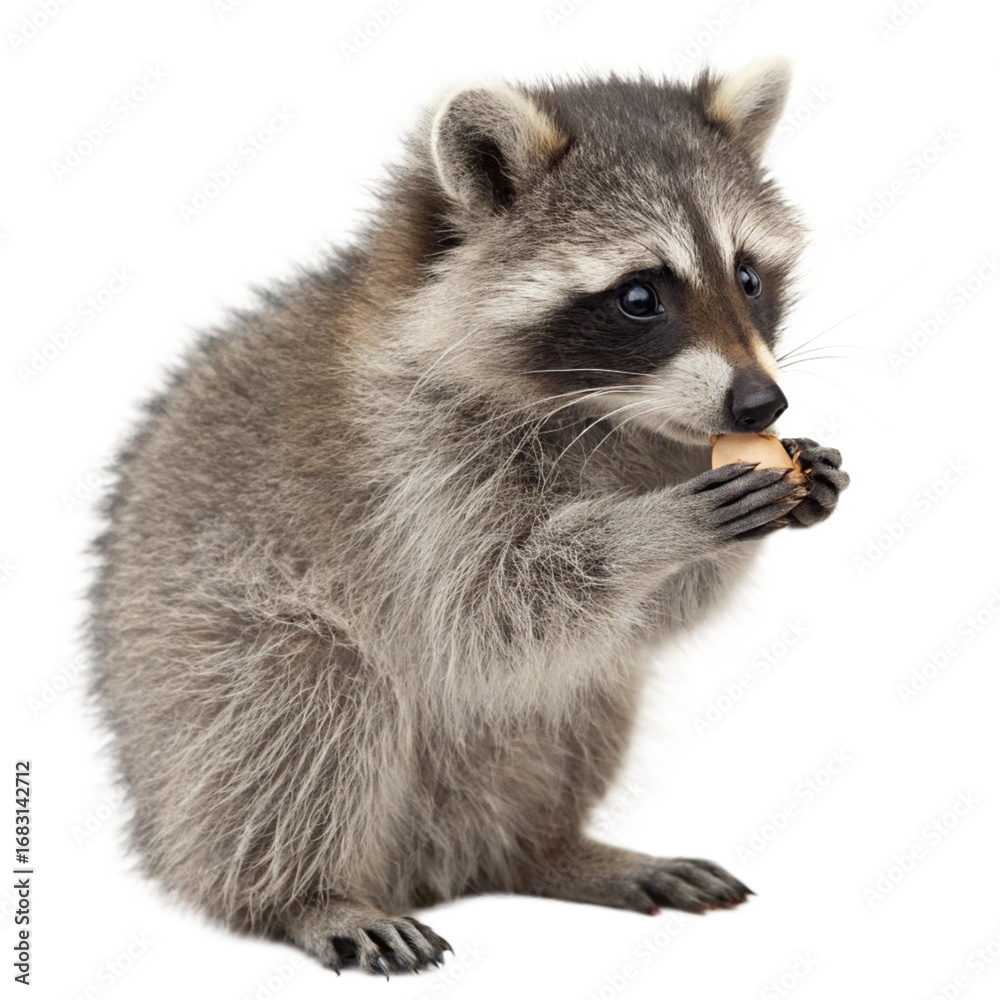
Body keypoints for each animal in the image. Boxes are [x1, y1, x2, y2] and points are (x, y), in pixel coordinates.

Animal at [90, 59, 849, 976]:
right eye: (639, 296)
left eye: (747, 276)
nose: (762, 402)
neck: (606, 413)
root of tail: (434, 867)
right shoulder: (405, 469)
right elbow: (485, 609)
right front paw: (652, 529)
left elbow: (642, 621)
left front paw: (792, 490)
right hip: (197, 685)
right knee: (309, 693)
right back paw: (306, 893)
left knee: (590, 688)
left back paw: (546, 849)